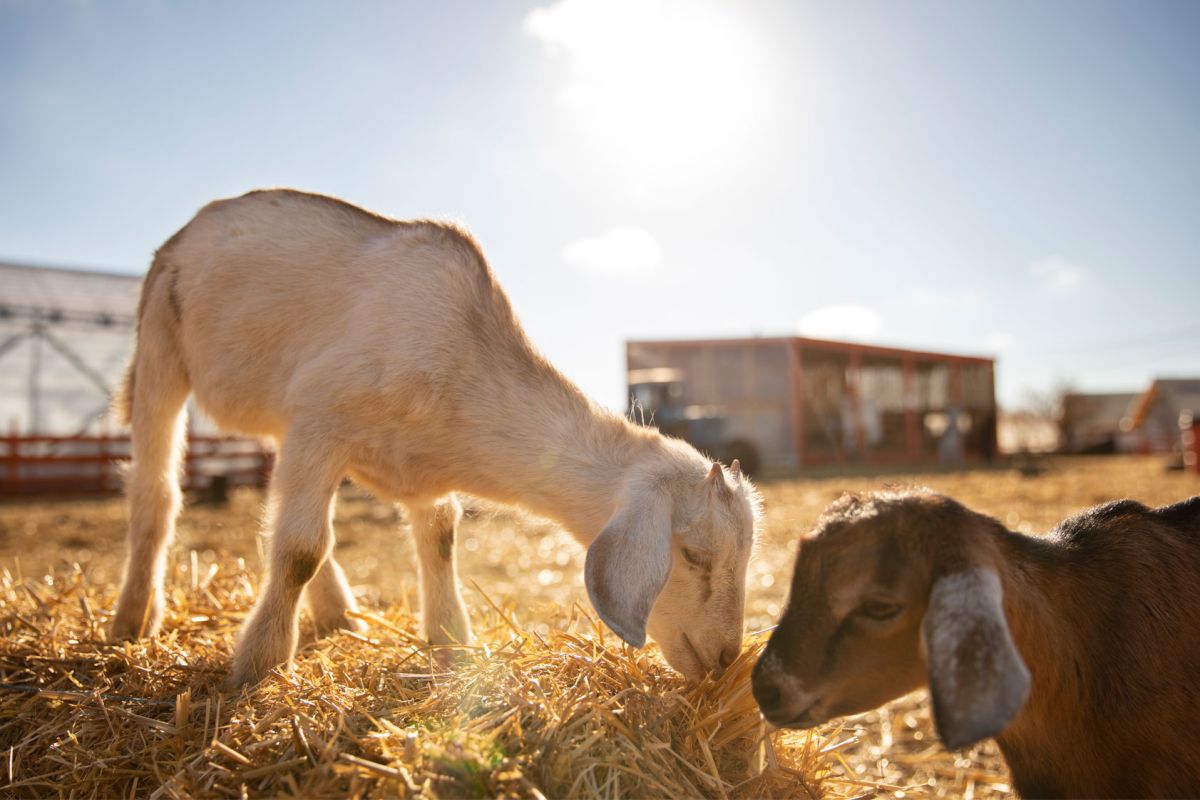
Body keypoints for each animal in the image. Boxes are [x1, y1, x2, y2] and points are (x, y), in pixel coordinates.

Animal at [108, 189, 753, 690]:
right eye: (694, 555)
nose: (725, 658)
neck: (462, 362)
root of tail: (192, 227)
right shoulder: (322, 419)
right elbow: (299, 550)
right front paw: (258, 664)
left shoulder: (402, 463)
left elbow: (438, 538)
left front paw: (452, 645)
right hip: (162, 340)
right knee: (157, 492)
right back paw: (131, 622)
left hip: (278, 415)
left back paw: (340, 615)